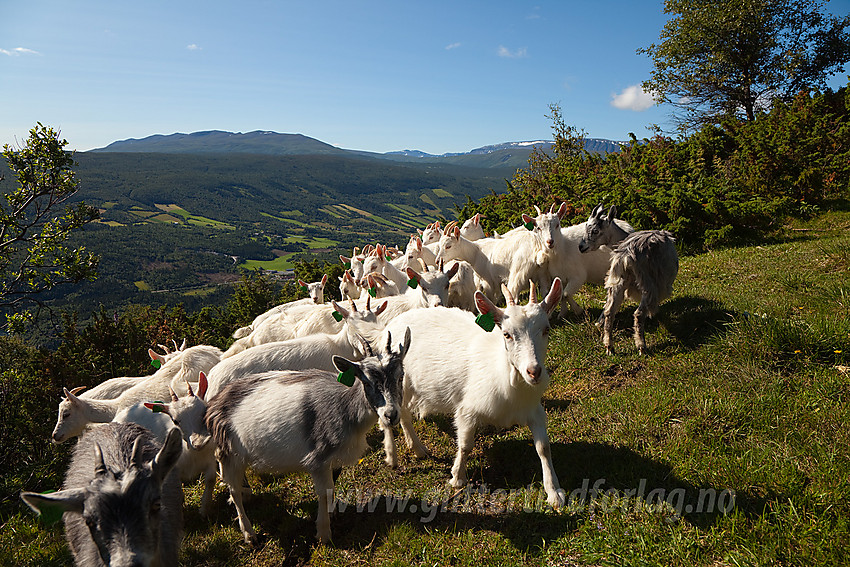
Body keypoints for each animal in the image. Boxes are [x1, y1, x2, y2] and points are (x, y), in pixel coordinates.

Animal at [380, 278, 568, 508]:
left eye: (546, 330)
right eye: (506, 334)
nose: (534, 371)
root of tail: (393, 323)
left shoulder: (534, 410)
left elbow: (543, 447)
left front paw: (554, 492)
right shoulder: (467, 409)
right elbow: (465, 445)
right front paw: (457, 477)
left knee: (405, 414)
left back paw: (417, 449)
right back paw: (392, 455)